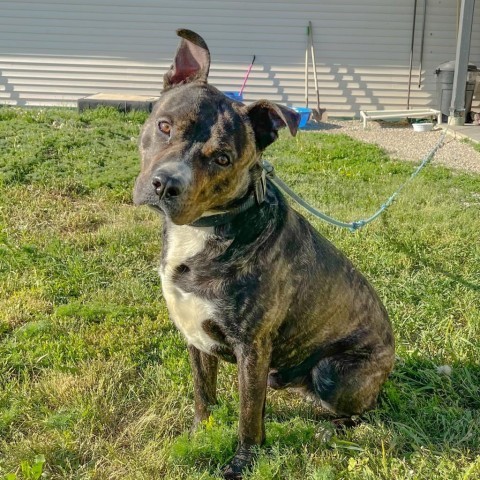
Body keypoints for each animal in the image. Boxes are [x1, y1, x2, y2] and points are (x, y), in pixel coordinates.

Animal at [132, 30, 394, 480]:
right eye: (164, 126)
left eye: (222, 158)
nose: (165, 185)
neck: (203, 230)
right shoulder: (195, 336)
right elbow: (204, 393)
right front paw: (201, 433)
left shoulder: (251, 347)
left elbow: (248, 417)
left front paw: (242, 463)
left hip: (334, 371)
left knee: (361, 412)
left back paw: (331, 429)